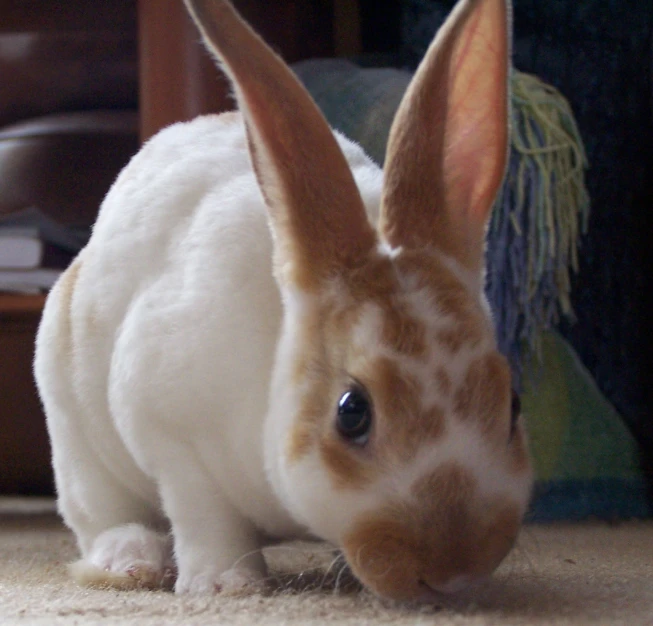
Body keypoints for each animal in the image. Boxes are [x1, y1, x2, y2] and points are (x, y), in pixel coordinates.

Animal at [34, 0, 528, 600]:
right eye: (352, 412)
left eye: (512, 404)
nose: (453, 568)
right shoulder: (169, 433)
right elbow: (206, 517)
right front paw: (226, 585)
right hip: (77, 446)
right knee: (101, 517)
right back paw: (132, 562)